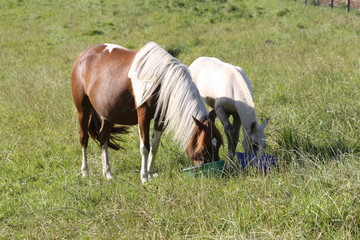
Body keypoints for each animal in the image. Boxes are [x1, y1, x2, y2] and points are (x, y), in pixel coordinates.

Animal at [71, 41, 222, 184]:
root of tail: (83, 56)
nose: (215, 168)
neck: (160, 80)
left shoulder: (160, 118)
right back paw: (85, 172)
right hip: (83, 110)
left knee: (103, 137)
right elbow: (145, 147)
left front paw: (150, 173)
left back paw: (107, 173)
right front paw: (144, 177)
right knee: (84, 138)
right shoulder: (143, 116)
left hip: (108, 113)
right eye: (205, 146)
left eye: (219, 144)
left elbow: (154, 146)